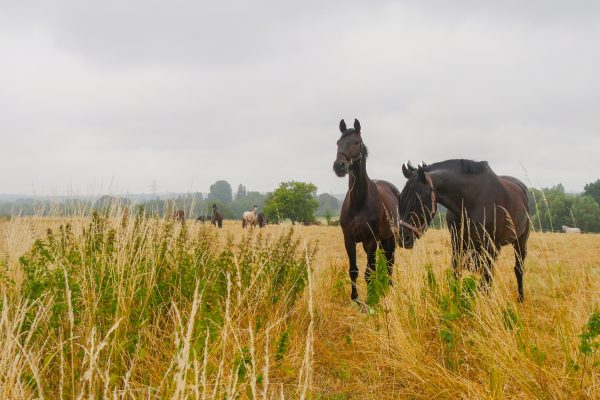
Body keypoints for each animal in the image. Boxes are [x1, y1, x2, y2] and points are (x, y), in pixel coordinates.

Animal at [332, 119, 404, 304]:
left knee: (390, 262)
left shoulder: (370, 241)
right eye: (338, 142)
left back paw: (389, 288)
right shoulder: (349, 240)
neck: (358, 203)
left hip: (390, 238)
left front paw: (372, 299)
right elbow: (353, 270)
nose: (339, 166)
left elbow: (369, 273)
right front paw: (355, 298)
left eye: (357, 142)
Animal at [398, 159, 528, 300]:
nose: (404, 238)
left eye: (419, 199)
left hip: (520, 241)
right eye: (400, 197)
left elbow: (484, 280)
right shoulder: (458, 244)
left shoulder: (488, 246)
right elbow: (456, 272)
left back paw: (521, 298)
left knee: (518, 269)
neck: (470, 201)